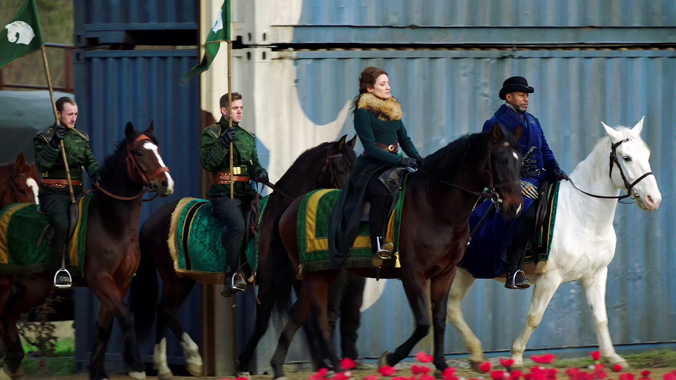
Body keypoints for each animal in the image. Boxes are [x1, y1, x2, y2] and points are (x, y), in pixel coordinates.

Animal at [0, 122, 173, 380]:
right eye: (139, 153)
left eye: (158, 150)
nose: (166, 183)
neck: (111, 223)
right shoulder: (100, 279)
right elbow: (127, 317)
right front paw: (136, 368)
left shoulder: (120, 283)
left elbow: (105, 326)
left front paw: (97, 371)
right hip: (4, 282)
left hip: (34, 287)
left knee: (9, 314)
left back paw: (14, 361)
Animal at [129, 135, 356, 378]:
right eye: (340, 168)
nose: (351, 208)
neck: (279, 217)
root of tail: (151, 219)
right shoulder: (268, 283)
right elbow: (262, 325)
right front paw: (246, 364)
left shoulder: (299, 281)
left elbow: (302, 318)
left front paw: (326, 366)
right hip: (175, 279)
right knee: (166, 310)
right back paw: (179, 363)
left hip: (183, 278)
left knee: (166, 311)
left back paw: (179, 363)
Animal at [272, 124, 524, 378]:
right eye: (500, 159)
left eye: (520, 160)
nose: (515, 207)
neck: (435, 205)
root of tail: (290, 207)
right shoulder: (412, 274)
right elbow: (423, 324)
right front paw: (388, 359)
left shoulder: (445, 273)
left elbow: (439, 318)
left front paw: (442, 365)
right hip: (314, 275)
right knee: (319, 319)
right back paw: (335, 367)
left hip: (320, 273)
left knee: (300, 314)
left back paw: (281, 365)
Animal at [446, 118, 664, 368]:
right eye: (627, 158)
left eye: (647, 154)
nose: (654, 200)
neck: (584, 215)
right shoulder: (550, 278)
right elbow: (534, 318)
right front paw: (516, 358)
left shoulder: (596, 274)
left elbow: (600, 318)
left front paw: (612, 358)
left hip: (466, 270)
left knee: (452, 305)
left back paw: (476, 355)